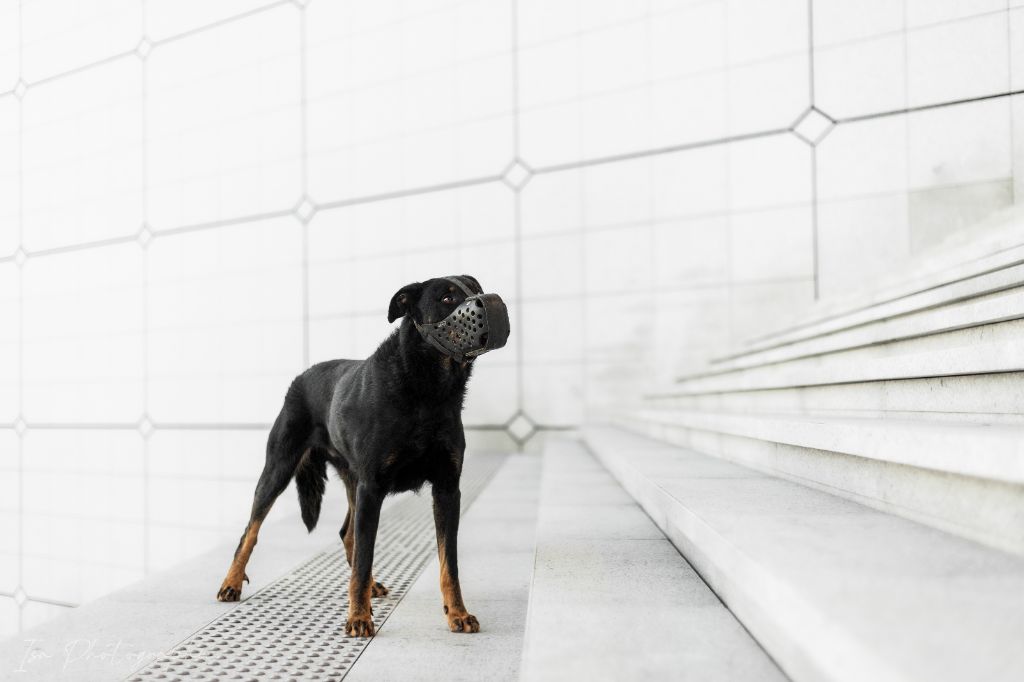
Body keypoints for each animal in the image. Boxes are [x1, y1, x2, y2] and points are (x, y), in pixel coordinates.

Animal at [215, 275, 509, 637]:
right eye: (446, 298)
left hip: (352, 480)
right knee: (251, 531)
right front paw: (358, 617)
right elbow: (364, 559)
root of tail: (301, 376)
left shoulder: (447, 489)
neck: (426, 389)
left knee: (347, 533)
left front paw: (457, 613)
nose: (492, 302)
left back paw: (373, 586)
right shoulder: (373, 488)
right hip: (279, 469)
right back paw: (231, 583)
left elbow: (448, 563)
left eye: (476, 288)